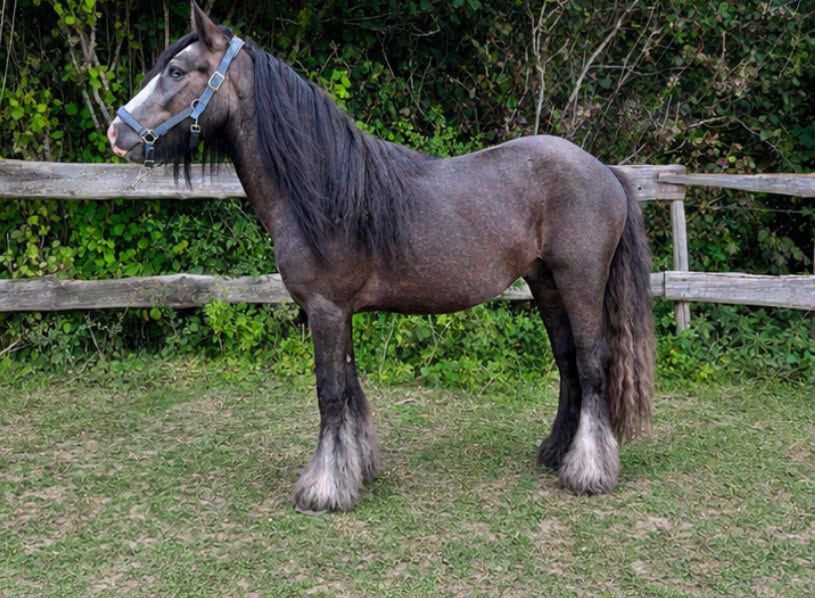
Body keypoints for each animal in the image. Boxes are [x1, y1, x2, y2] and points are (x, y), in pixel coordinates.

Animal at [107, 1, 655, 514]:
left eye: (178, 71)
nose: (116, 134)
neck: (326, 193)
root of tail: (603, 170)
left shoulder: (327, 309)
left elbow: (330, 391)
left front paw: (324, 489)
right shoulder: (337, 311)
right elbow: (349, 385)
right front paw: (357, 468)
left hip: (580, 281)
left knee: (591, 363)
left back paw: (587, 471)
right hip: (545, 282)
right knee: (567, 362)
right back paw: (556, 451)